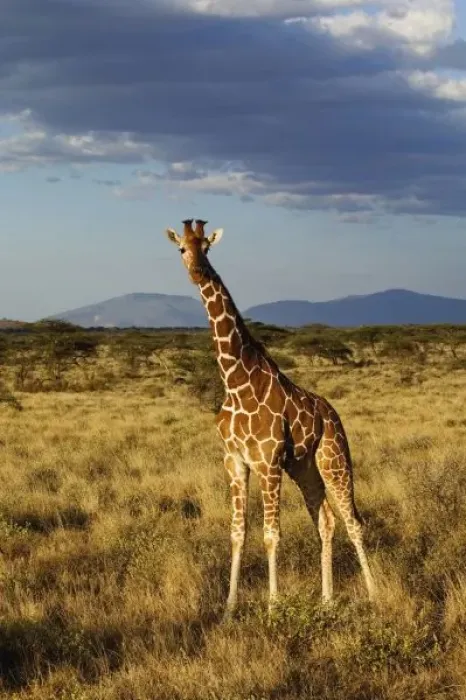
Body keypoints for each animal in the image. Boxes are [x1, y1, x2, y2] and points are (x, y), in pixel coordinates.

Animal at [165, 218, 376, 619]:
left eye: (206, 247)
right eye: (182, 248)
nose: (197, 271)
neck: (235, 383)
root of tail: (332, 413)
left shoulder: (268, 461)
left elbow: (271, 534)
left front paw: (274, 606)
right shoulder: (235, 462)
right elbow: (238, 532)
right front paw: (229, 608)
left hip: (334, 458)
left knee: (353, 521)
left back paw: (375, 596)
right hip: (304, 467)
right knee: (326, 521)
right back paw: (326, 600)